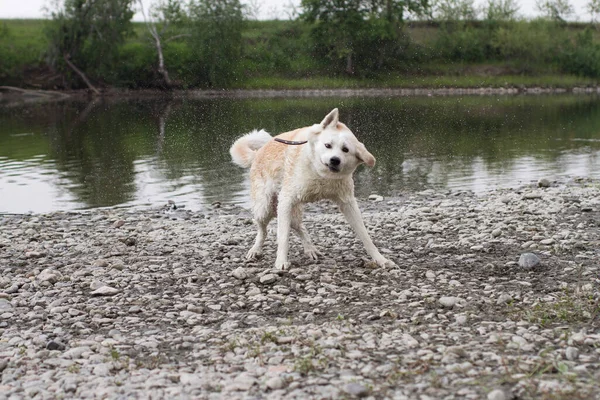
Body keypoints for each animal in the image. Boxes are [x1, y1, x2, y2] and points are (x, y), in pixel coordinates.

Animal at [229, 108, 394, 270]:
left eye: (345, 150)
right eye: (327, 145)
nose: (335, 160)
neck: (320, 174)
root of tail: (257, 153)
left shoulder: (348, 204)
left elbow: (365, 236)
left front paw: (381, 260)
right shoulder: (286, 200)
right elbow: (283, 237)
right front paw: (281, 261)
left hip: (291, 211)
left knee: (300, 227)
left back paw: (310, 249)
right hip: (265, 207)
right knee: (262, 230)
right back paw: (255, 250)